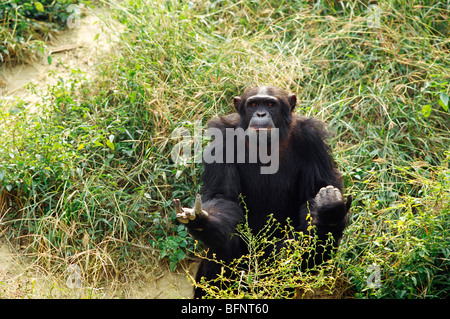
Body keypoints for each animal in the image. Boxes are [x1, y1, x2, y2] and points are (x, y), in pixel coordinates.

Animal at [172, 86, 352, 298]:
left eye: (270, 104)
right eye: (254, 104)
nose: (260, 114)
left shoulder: (313, 140)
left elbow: (314, 193)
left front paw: (329, 209)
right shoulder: (222, 140)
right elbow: (223, 197)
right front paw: (201, 221)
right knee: (221, 245)